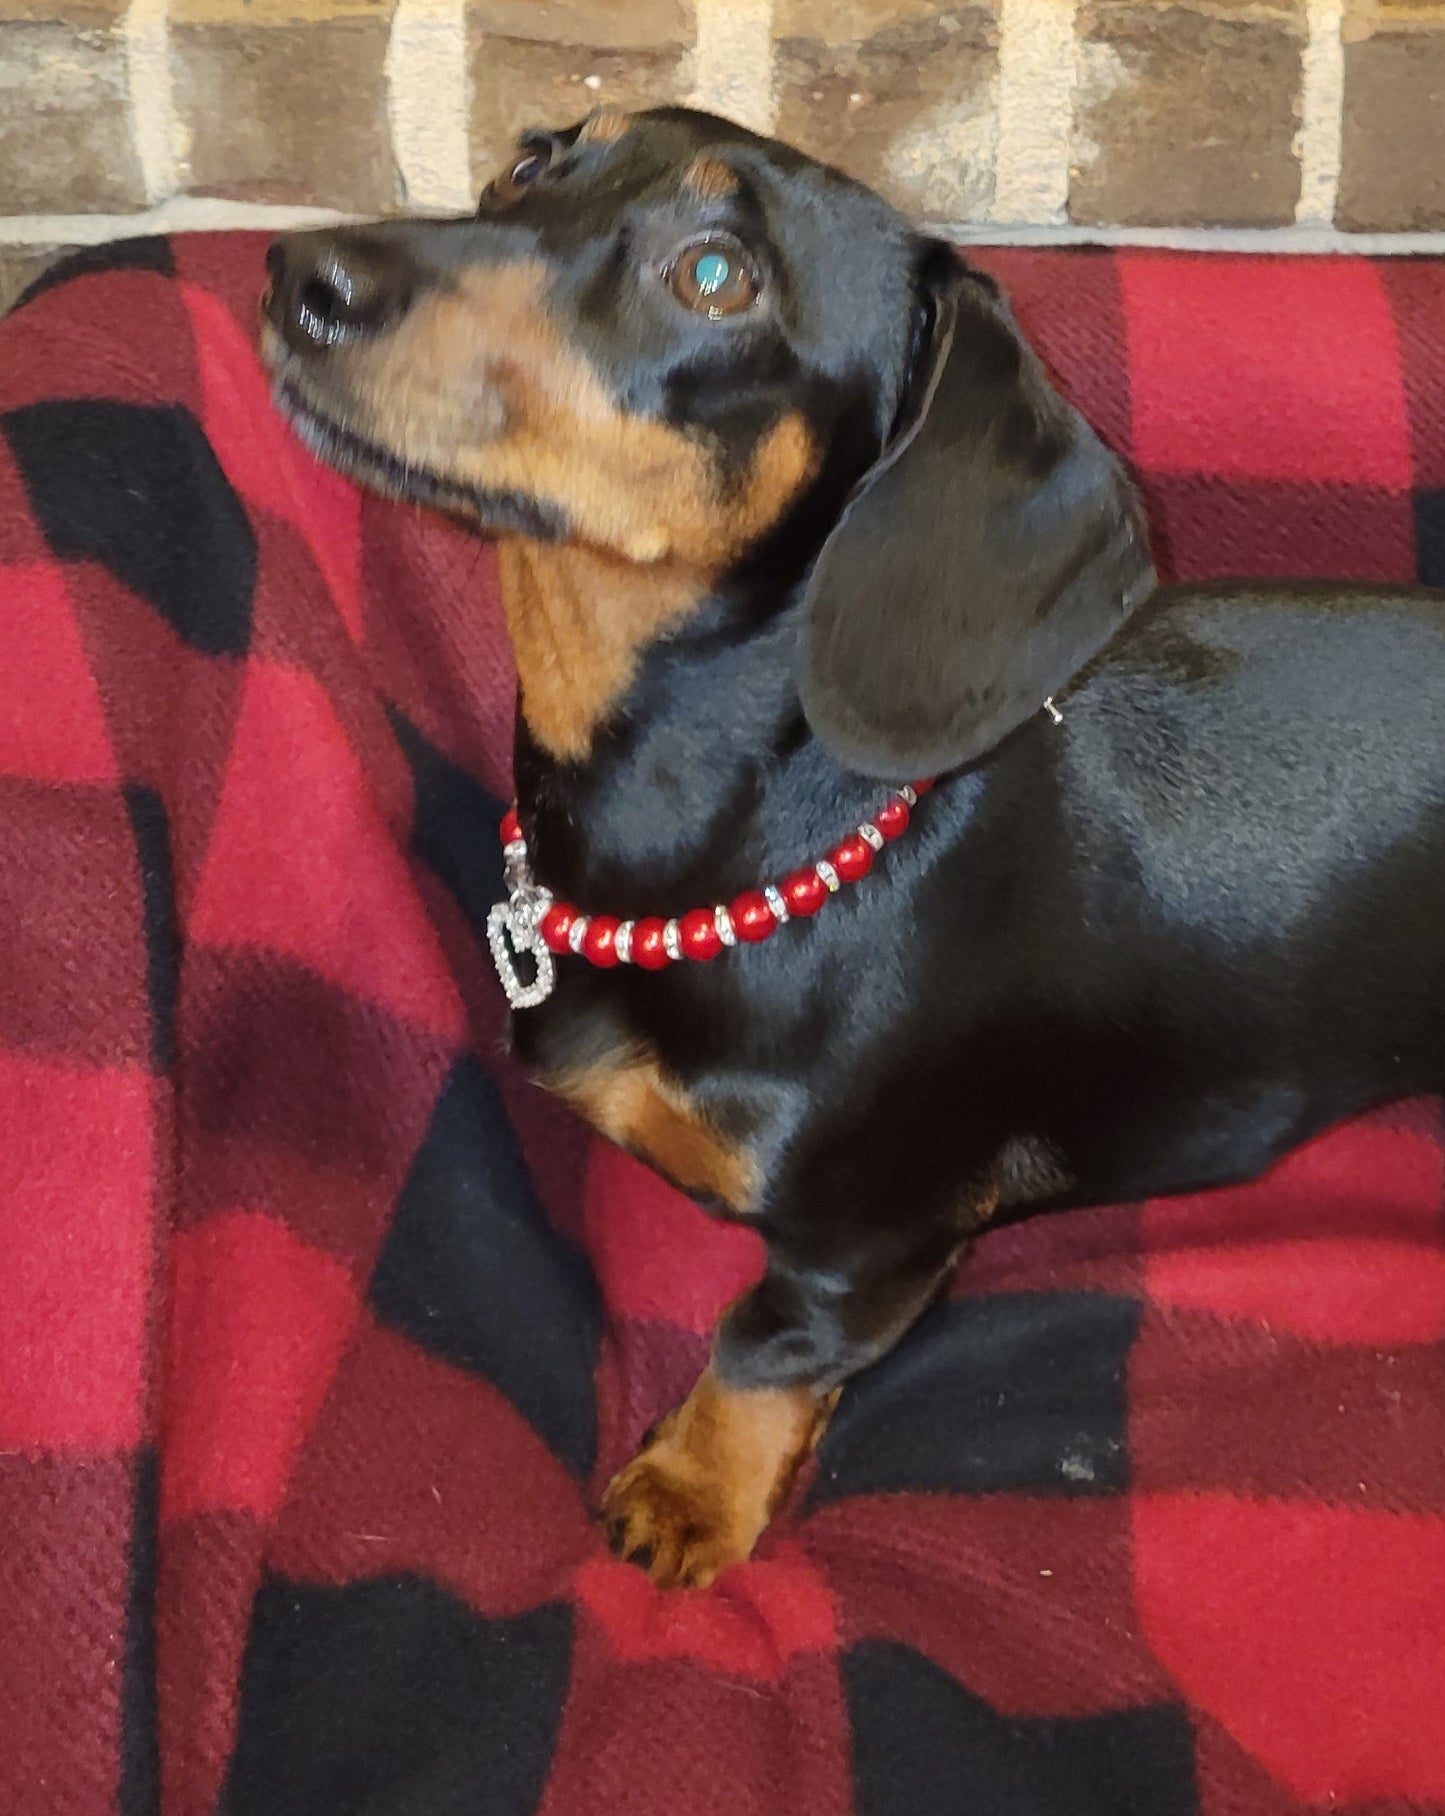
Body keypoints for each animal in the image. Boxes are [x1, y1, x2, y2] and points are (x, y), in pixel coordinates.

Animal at [265, 109, 1445, 1590]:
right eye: (533, 161)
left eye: (718, 275)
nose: (298, 273)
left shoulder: (866, 1240)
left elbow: (763, 1346)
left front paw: (692, 1495)